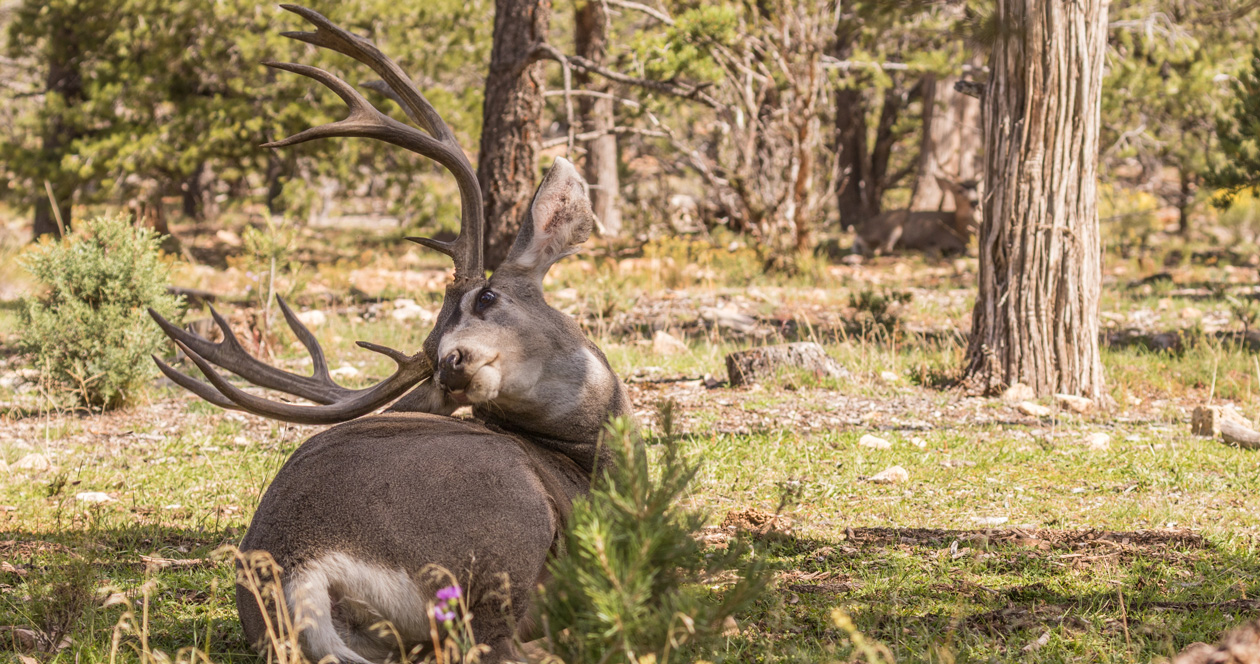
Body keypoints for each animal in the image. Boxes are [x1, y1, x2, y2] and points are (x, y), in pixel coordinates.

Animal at [147, 6, 630, 663]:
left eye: (487, 297)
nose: (451, 364)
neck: (590, 460)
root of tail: (303, 568)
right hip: (506, 523)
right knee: (490, 642)